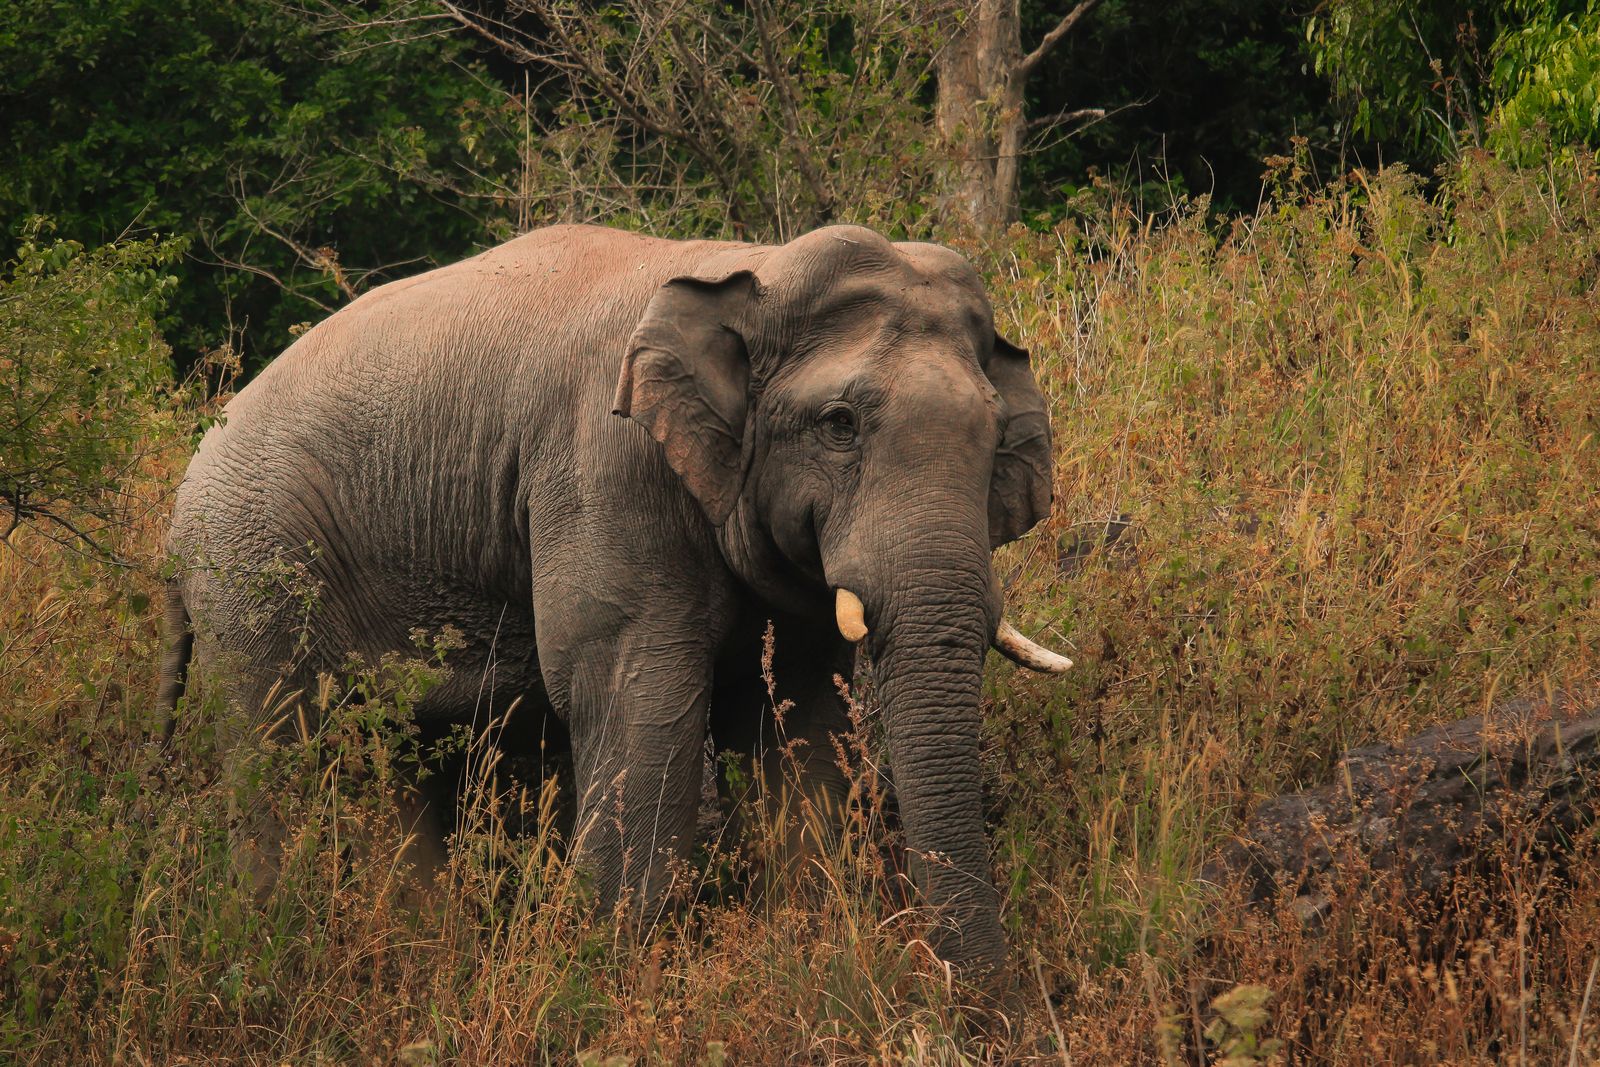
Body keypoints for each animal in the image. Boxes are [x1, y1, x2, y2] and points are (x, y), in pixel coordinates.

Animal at [159, 222, 1071, 978]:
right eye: (839, 423)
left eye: (996, 434)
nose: (985, 1007)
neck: (751, 268)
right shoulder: (607, 469)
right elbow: (641, 699)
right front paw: (601, 968)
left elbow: (798, 716)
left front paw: (809, 953)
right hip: (249, 566)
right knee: (280, 749)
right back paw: (276, 945)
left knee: (398, 760)